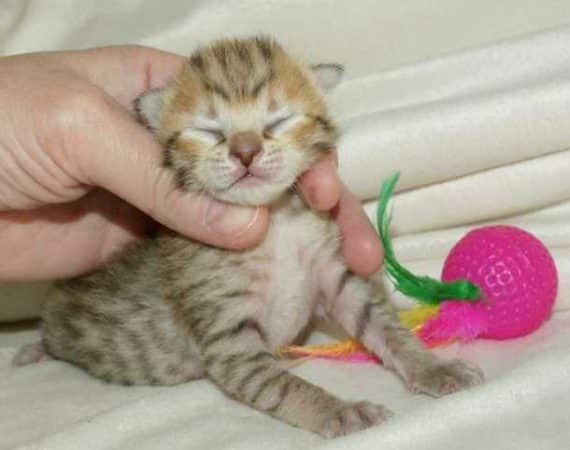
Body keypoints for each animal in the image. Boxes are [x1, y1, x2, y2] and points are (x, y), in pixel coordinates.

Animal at [15, 37, 482, 438]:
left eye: (278, 120)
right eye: (208, 131)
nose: (245, 152)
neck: (276, 226)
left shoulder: (335, 276)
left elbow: (383, 325)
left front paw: (432, 368)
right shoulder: (230, 338)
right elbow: (283, 387)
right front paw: (340, 411)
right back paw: (35, 349)